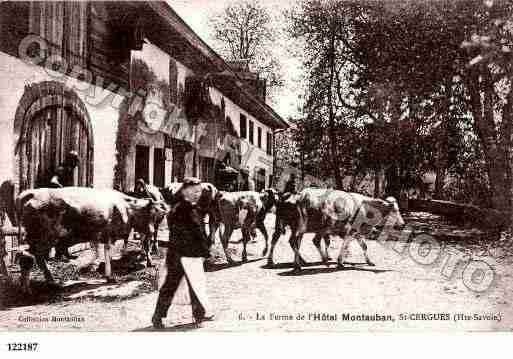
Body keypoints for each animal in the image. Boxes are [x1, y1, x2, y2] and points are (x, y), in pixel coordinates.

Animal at [14, 188, 168, 292]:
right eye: (148, 214)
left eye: (156, 215)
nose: (152, 231)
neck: (125, 207)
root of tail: (30, 193)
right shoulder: (109, 234)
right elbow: (106, 253)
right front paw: (109, 276)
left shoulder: (102, 235)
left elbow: (101, 253)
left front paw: (100, 270)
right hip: (44, 238)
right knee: (30, 257)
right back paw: (40, 285)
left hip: (35, 238)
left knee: (26, 256)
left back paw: (30, 286)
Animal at [268, 188, 404, 270]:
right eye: (395, 210)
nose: (402, 224)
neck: (364, 207)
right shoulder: (349, 231)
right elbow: (345, 246)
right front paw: (340, 262)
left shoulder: (357, 232)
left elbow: (364, 246)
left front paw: (369, 261)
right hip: (297, 226)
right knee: (290, 241)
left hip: (290, 226)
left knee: (291, 241)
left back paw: (297, 261)